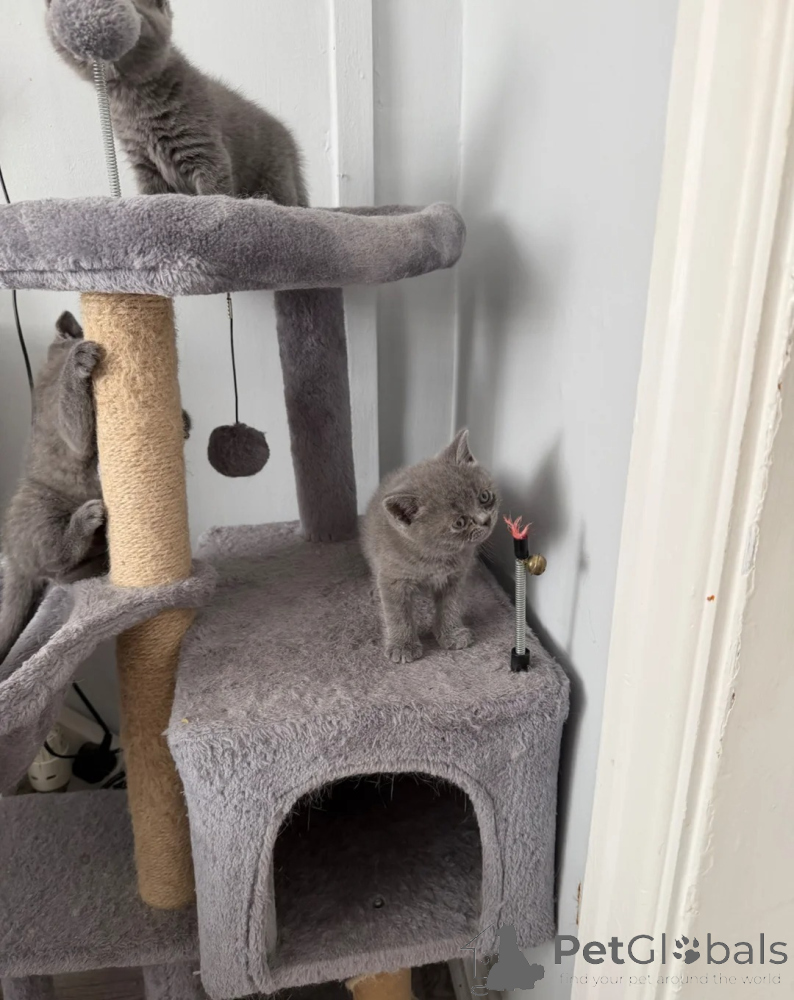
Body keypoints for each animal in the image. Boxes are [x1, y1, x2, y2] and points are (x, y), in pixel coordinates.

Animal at [0, 313, 106, 665]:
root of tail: (12, 558)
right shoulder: (69, 428)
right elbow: (74, 419)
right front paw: (79, 360)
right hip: (40, 506)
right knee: (55, 565)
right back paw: (85, 520)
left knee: (60, 575)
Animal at [45, 0, 308, 206]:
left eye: (134, 15)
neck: (134, 105)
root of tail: (291, 144)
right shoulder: (144, 164)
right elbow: (152, 195)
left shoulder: (205, 149)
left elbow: (216, 190)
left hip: (276, 177)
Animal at [362, 429, 500, 664]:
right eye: (459, 522)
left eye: (484, 496)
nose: (485, 521)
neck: (436, 557)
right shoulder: (392, 577)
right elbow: (397, 613)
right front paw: (403, 645)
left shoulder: (456, 576)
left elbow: (451, 605)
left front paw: (452, 634)